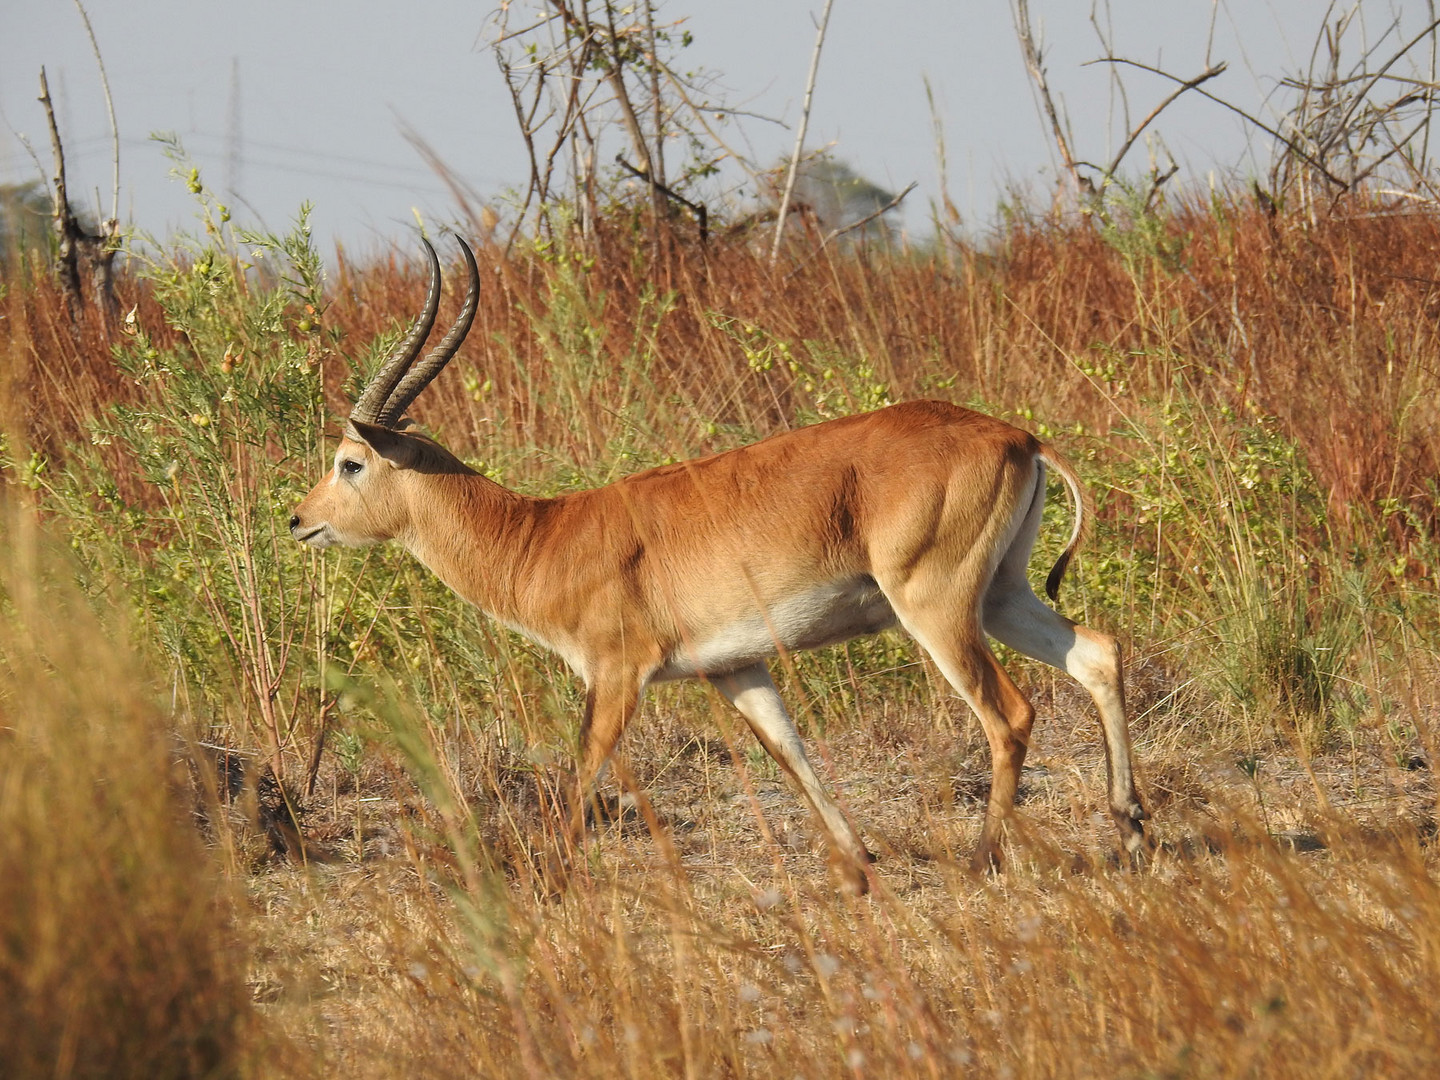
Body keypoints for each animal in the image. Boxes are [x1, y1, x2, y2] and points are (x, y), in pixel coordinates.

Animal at [289, 239, 1146, 898]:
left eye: (350, 462)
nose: (299, 520)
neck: (543, 536)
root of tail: (1017, 435)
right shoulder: (737, 667)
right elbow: (790, 752)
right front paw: (858, 869)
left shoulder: (617, 673)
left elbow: (582, 767)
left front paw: (550, 880)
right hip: (1001, 594)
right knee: (1098, 652)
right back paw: (1131, 828)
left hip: (935, 608)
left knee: (1011, 714)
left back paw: (982, 861)